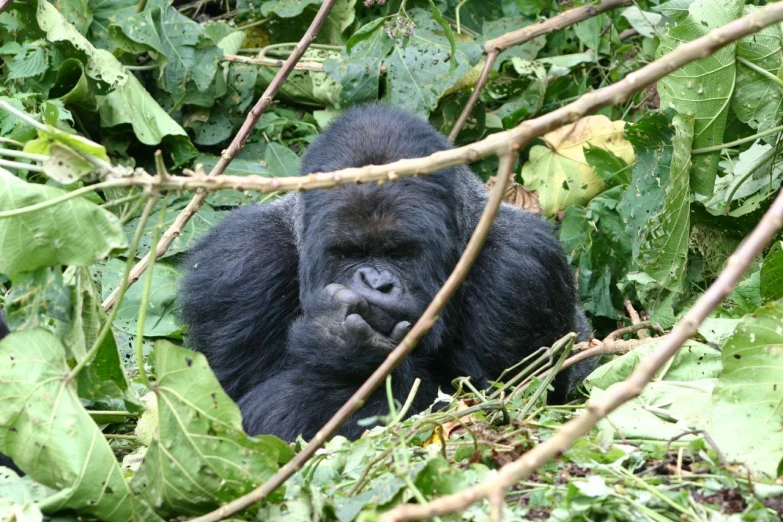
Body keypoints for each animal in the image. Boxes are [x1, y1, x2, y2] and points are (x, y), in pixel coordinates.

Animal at [179, 102, 596, 438]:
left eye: (400, 253)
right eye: (349, 253)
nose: (376, 282)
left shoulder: (523, 267)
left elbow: (492, 400)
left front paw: (340, 343)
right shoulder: (237, 266)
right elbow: (228, 405)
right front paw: (339, 338)